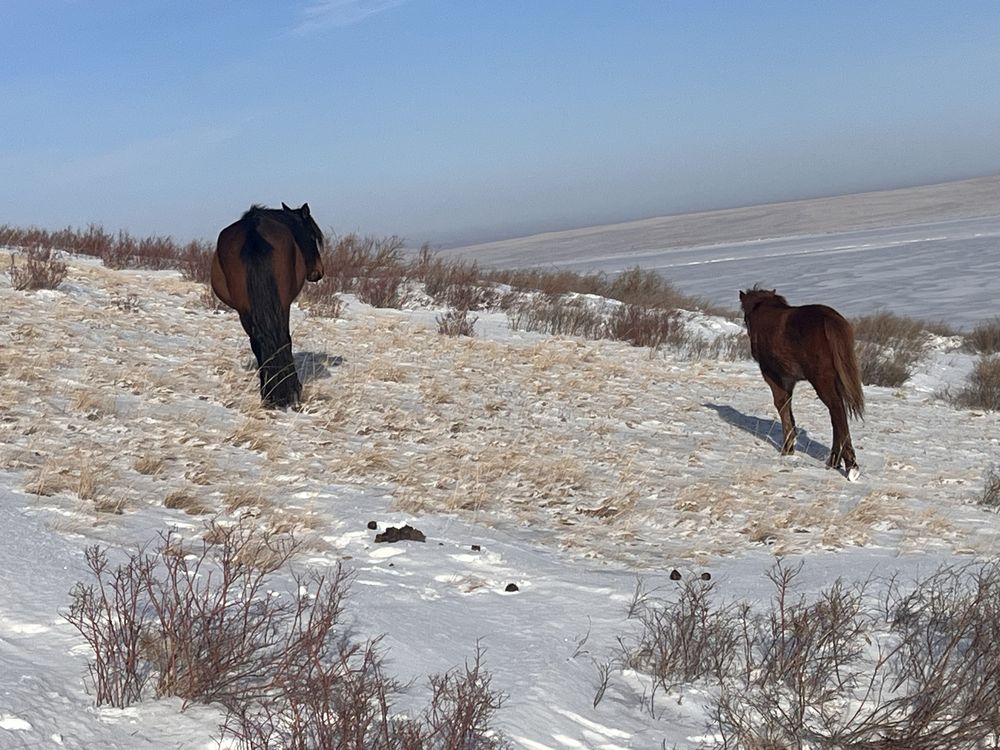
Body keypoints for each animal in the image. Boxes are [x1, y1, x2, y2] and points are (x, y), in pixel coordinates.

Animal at [213, 203, 326, 408]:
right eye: (312, 236)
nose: (317, 272)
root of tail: (253, 232)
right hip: (281, 304)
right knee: (283, 338)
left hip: (245, 309)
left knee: (258, 342)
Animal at [740, 288, 864, 482]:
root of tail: (829, 319)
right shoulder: (789, 380)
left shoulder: (774, 376)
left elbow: (782, 406)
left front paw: (788, 448)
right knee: (837, 413)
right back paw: (834, 461)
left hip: (821, 380)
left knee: (836, 410)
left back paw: (850, 466)